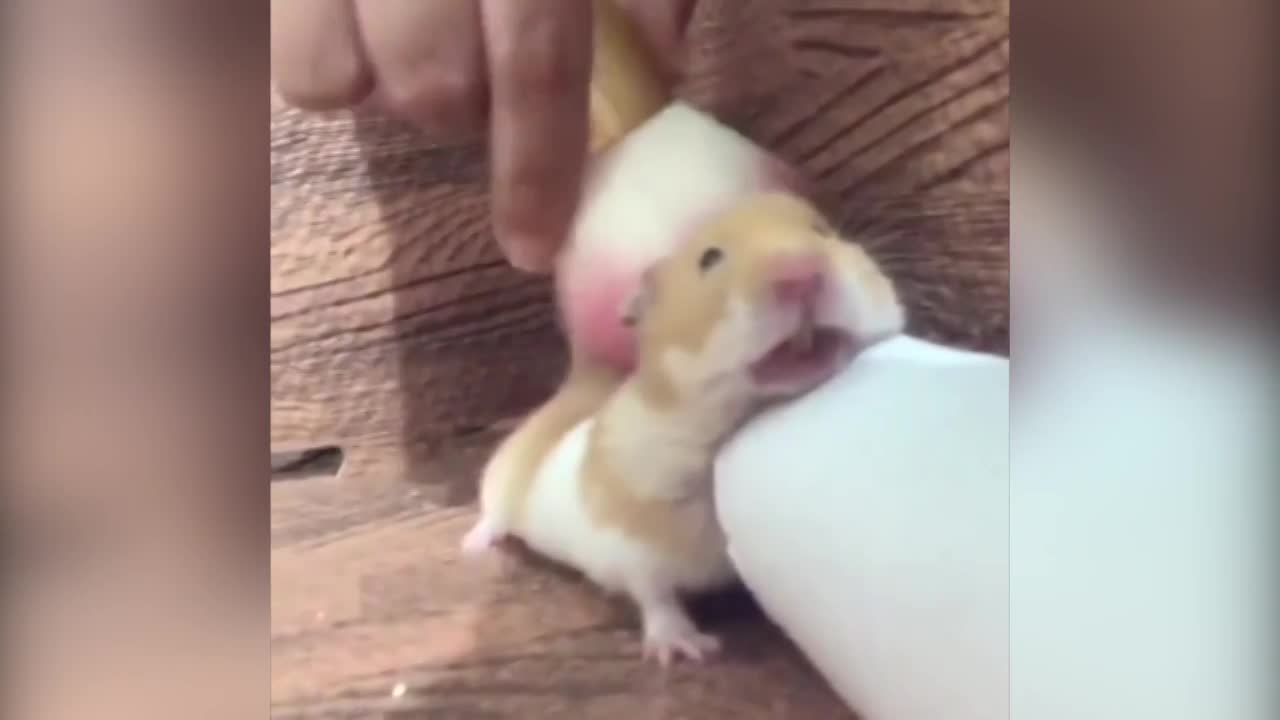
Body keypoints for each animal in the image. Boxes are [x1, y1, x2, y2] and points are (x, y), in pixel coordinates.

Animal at [463, 192, 906, 665]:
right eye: (709, 258)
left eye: (821, 230)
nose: (802, 273)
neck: (724, 425)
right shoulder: (630, 545)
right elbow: (656, 596)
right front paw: (691, 650)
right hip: (500, 480)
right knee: (492, 514)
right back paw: (472, 546)